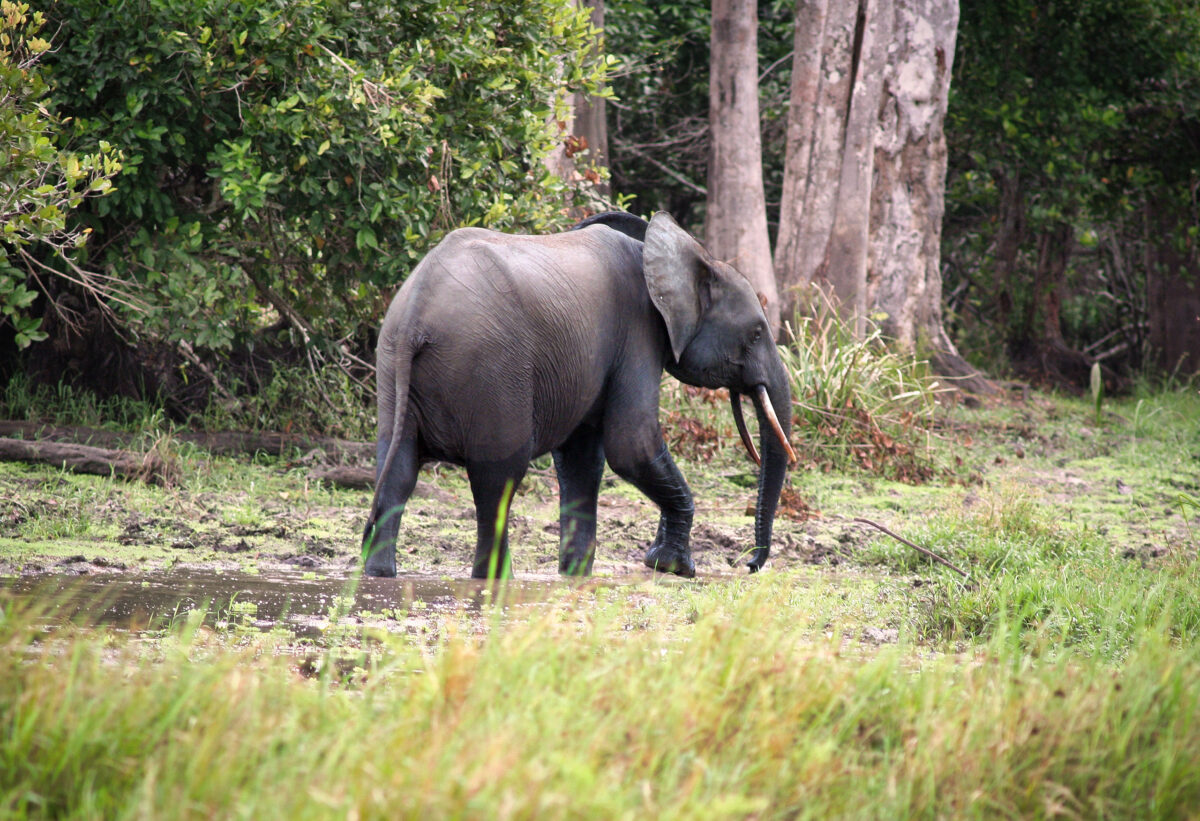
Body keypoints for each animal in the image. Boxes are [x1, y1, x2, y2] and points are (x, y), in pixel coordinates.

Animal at [361, 211, 795, 579]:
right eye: (757, 333)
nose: (748, 565)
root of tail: (416, 314)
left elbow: (582, 458)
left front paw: (577, 574)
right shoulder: (637, 333)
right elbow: (631, 447)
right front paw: (674, 568)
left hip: (393, 364)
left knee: (398, 469)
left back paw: (380, 574)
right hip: (490, 368)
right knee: (497, 477)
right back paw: (495, 579)